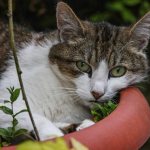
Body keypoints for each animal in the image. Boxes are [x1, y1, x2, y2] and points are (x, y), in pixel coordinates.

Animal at [0, 1, 149, 141]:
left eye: (118, 71)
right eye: (82, 65)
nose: (97, 93)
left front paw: (80, 126)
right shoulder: (8, 98)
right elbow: (29, 116)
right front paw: (52, 136)